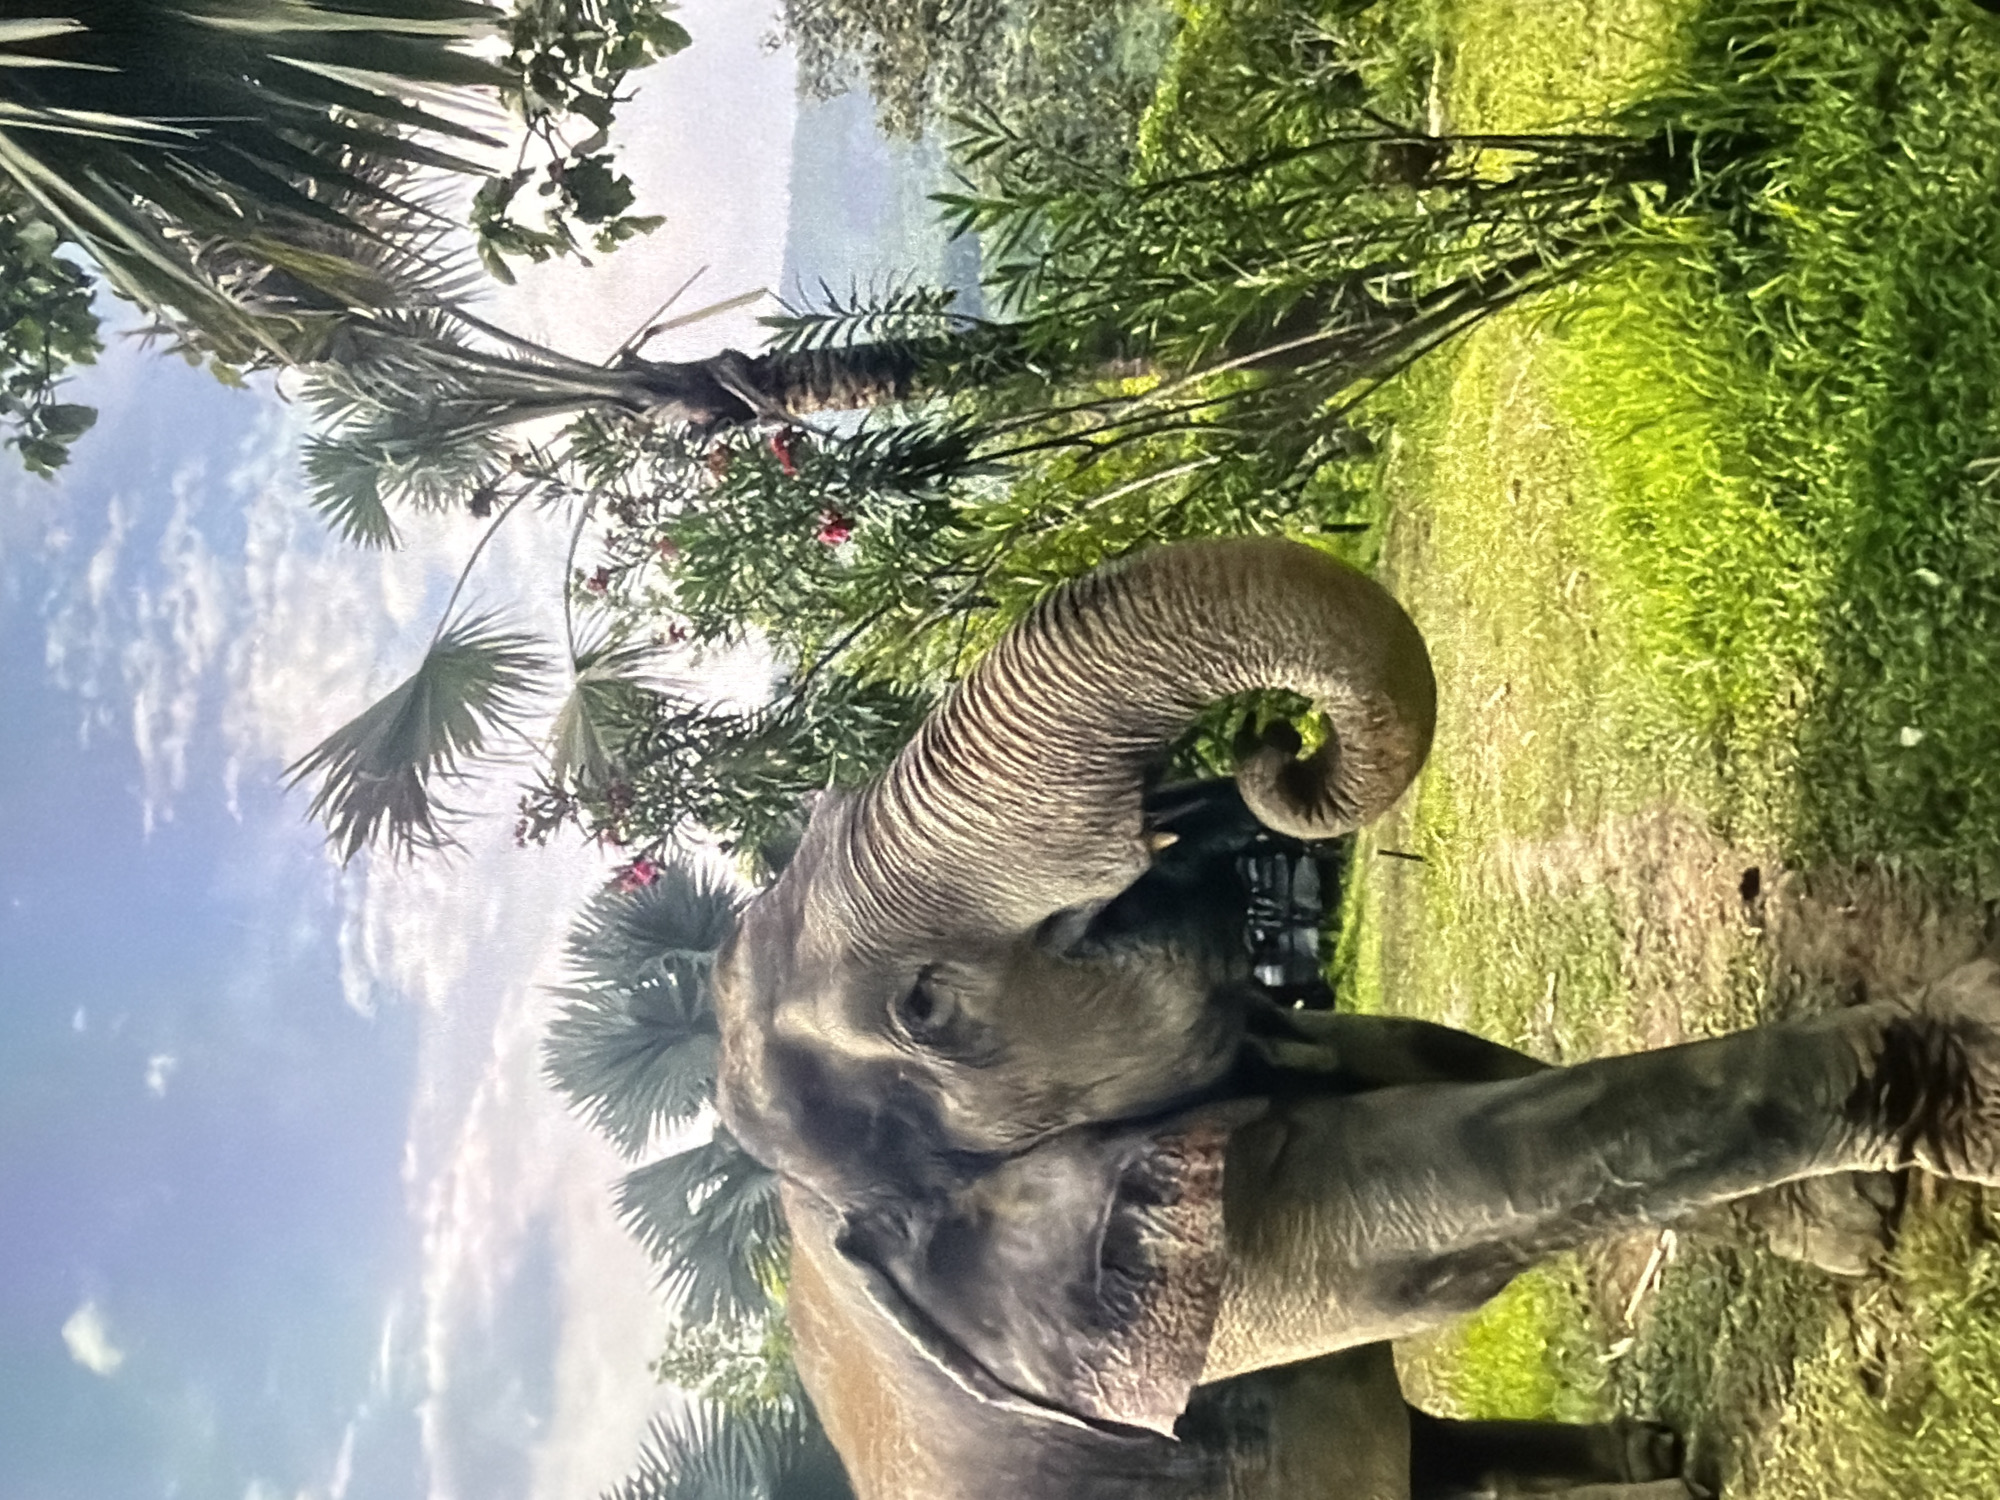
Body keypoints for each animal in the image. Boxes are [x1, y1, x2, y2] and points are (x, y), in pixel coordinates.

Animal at [712, 536, 2000, 1498]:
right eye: (924, 1008)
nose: (1265, 742)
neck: (805, 1211)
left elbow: (1424, 1057)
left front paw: (1850, 1224)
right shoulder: (1112, 1305)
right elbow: (1424, 1202)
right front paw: (1977, 1059)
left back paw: (1658, 1459)